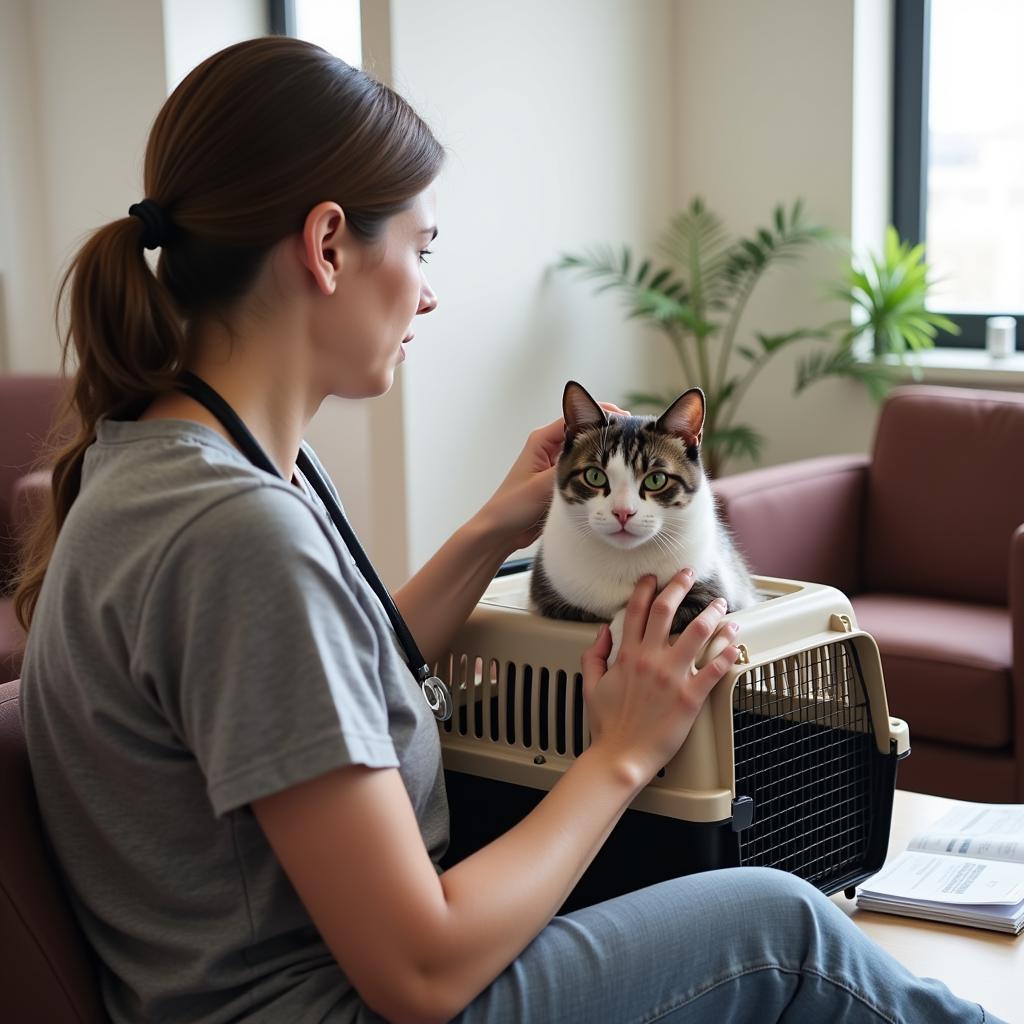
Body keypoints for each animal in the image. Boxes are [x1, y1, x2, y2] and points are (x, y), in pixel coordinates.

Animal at [528, 380, 761, 651]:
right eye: (594, 476)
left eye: (656, 479)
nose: (623, 512)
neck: (626, 558)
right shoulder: (547, 591)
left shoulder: (717, 592)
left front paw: (620, 642)